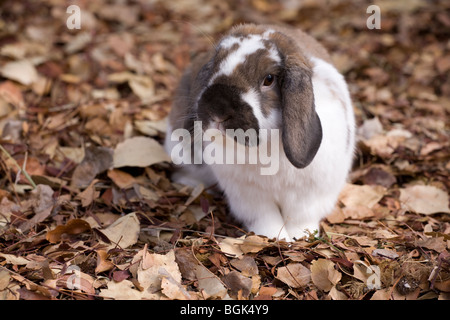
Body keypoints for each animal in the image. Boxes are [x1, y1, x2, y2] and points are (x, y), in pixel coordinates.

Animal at [163, 23, 356, 241]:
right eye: (214, 68)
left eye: (269, 79)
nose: (218, 110)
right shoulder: (248, 196)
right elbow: (265, 219)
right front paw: (276, 238)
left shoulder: (309, 194)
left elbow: (300, 218)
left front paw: (301, 237)